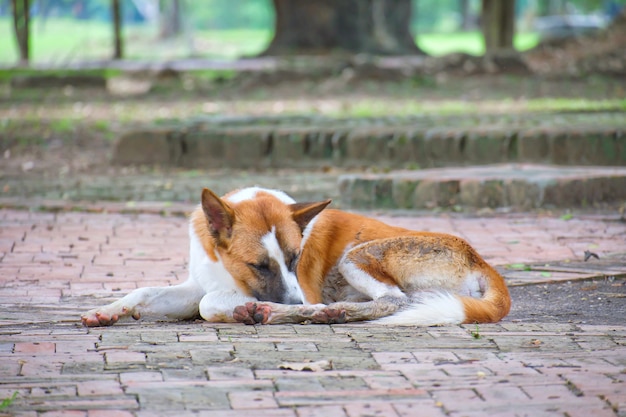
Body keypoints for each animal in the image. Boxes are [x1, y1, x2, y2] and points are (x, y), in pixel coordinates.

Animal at [80, 187, 510, 326]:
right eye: (259, 265)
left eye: (294, 259)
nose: (295, 301)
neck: (229, 272)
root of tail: (480, 259)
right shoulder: (196, 284)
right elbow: (146, 292)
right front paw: (108, 311)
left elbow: (208, 304)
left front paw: (247, 308)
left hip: (356, 256)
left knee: (394, 301)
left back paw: (311, 313)